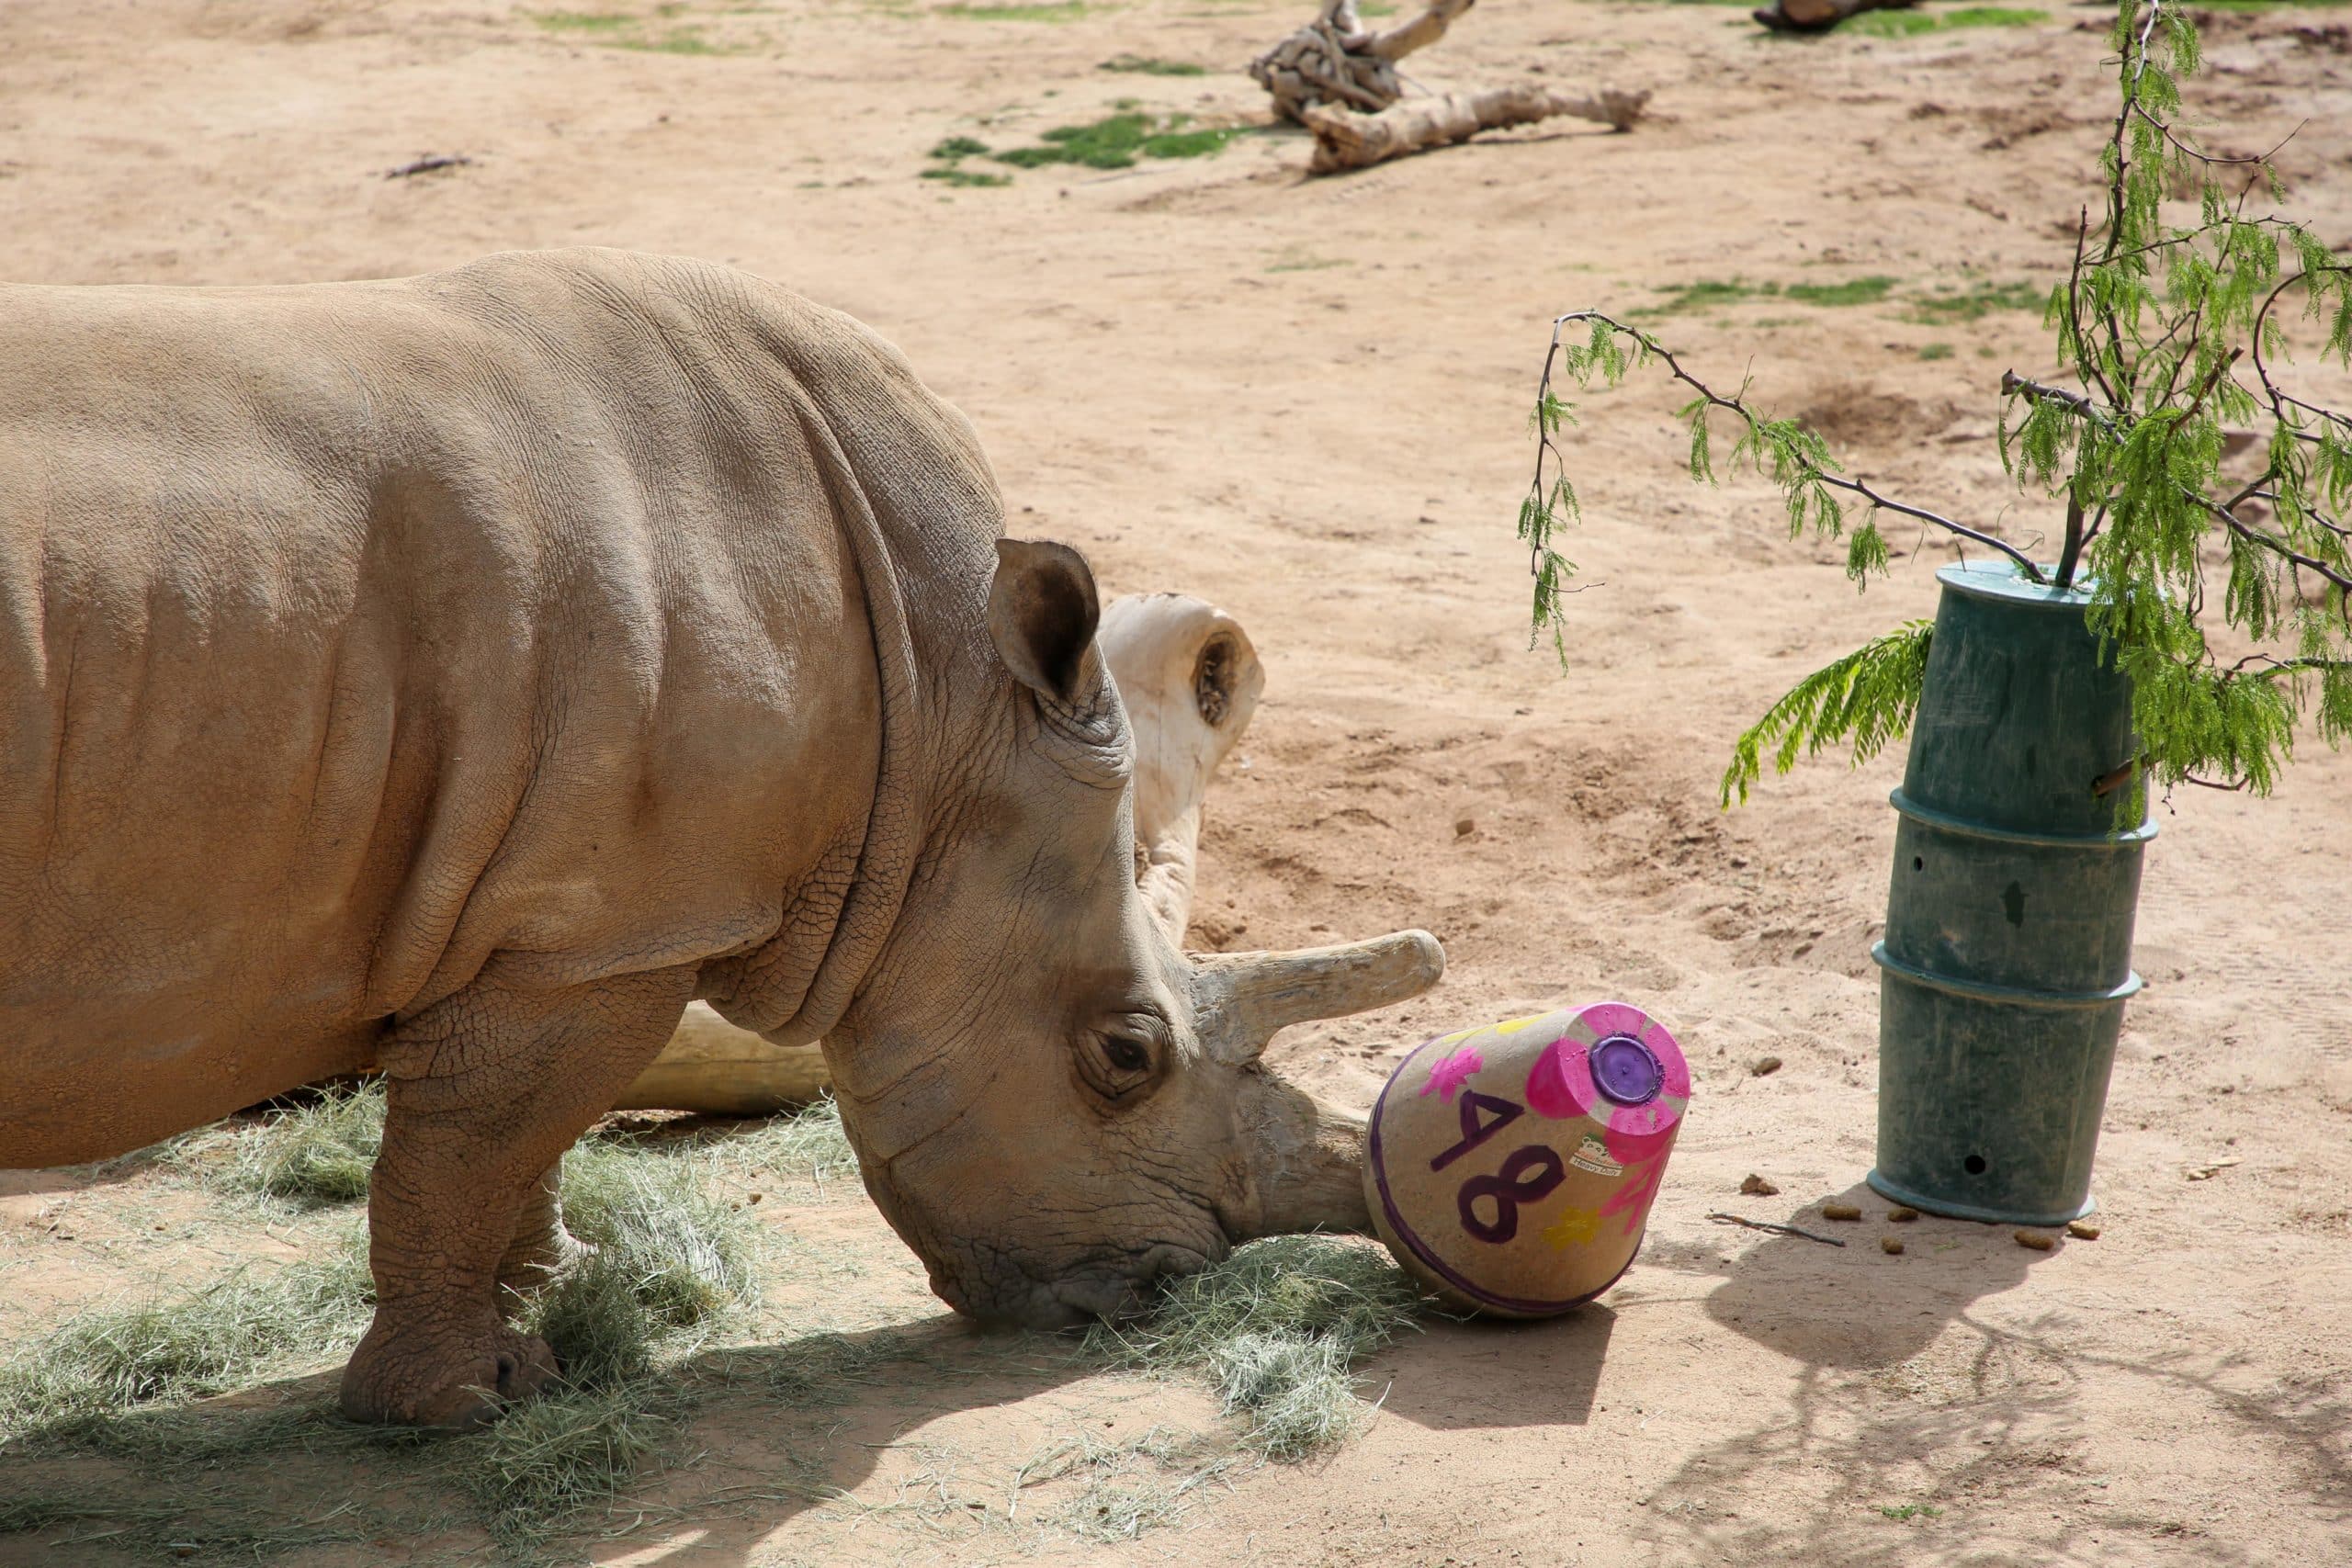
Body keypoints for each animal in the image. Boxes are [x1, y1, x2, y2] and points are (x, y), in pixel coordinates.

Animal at [0, 250, 1442, 1428]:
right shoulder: (606, 930)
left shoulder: (547, 928)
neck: (944, 708)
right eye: (1126, 1056)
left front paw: (568, 1299)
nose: (1153, 1290)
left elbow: (511, 1139)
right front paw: (469, 1400)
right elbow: (476, 1145)